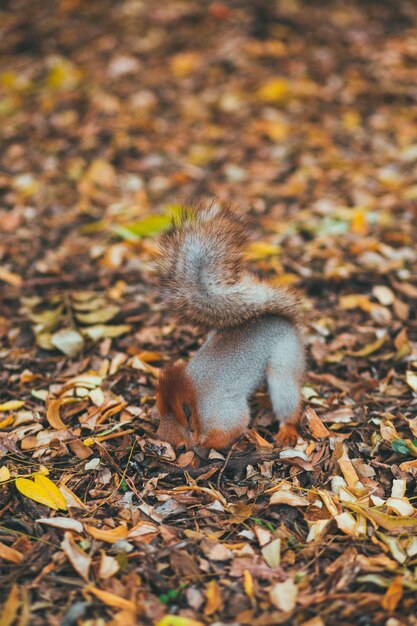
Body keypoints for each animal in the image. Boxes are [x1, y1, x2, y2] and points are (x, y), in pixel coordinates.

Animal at [154, 200, 304, 454]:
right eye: (158, 434)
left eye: (181, 447)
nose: (156, 451)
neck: (196, 405)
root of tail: (279, 319)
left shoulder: (224, 413)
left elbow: (232, 427)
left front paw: (205, 445)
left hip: (284, 359)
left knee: (287, 396)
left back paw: (287, 429)